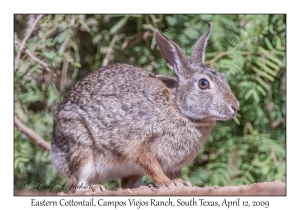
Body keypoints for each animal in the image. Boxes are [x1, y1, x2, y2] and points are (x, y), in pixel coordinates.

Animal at [51, 23, 239, 194]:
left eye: (223, 78)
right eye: (203, 83)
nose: (235, 106)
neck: (179, 109)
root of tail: (55, 151)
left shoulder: (174, 162)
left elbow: (174, 173)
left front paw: (181, 183)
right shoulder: (138, 143)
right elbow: (151, 165)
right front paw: (166, 183)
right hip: (80, 148)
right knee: (77, 182)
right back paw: (95, 188)